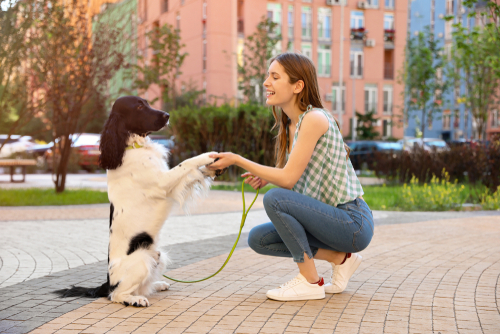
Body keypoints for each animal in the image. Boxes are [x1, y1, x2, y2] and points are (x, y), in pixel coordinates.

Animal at [54, 95, 221, 306]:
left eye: (147, 103)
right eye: (140, 107)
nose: (167, 115)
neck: (133, 146)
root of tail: (108, 282)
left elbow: (195, 173)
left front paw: (213, 169)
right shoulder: (164, 183)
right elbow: (187, 163)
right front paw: (208, 156)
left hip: (157, 255)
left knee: (139, 287)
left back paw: (158, 284)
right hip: (142, 260)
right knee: (116, 295)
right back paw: (135, 300)